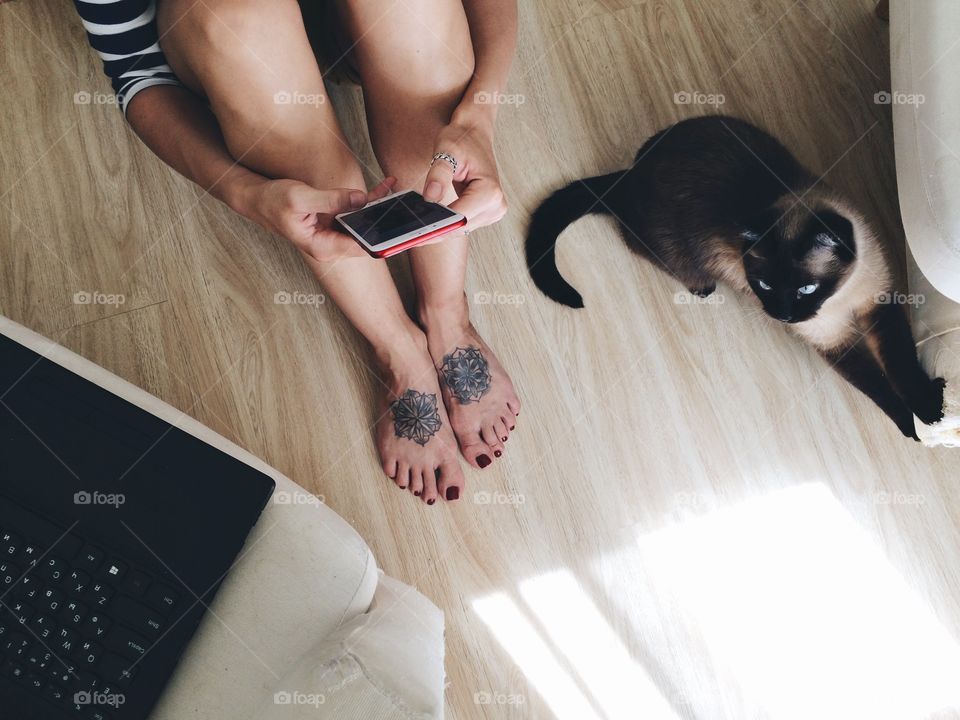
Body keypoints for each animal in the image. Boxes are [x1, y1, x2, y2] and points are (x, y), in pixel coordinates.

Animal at [528, 114, 948, 438]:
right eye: (764, 285)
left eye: (806, 288)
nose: (783, 316)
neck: (840, 302)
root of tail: (631, 175)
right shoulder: (835, 342)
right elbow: (879, 389)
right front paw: (914, 427)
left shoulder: (878, 304)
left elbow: (901, 366)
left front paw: (928, 409)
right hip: (677, 254)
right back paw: (701, 288)